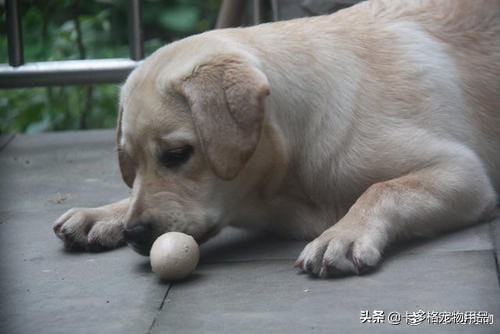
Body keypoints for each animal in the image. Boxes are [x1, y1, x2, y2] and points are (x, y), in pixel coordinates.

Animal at [52, 0, 498, 276]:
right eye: (130, 162)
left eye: (178, 154)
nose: (135, 234)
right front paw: (104, 212)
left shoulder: (462, 171)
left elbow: (382, 189)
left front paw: (342, 234)